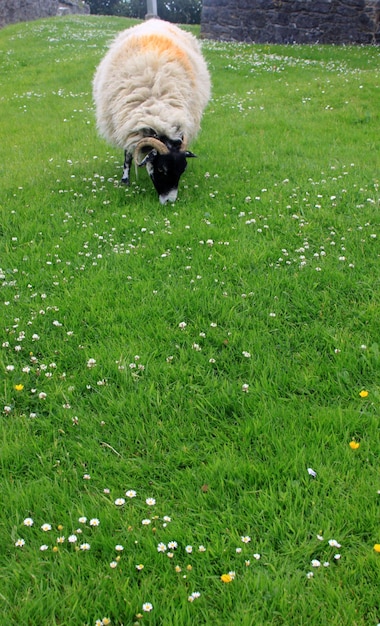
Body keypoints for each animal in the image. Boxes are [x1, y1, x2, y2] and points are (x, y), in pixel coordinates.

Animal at [92, 19, 211, 204]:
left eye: (182, 170)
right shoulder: (128, 125)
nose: (170, 201)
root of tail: (155, 20)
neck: (157, 109)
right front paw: (125, 180)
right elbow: (128, 154)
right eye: (161, 169)